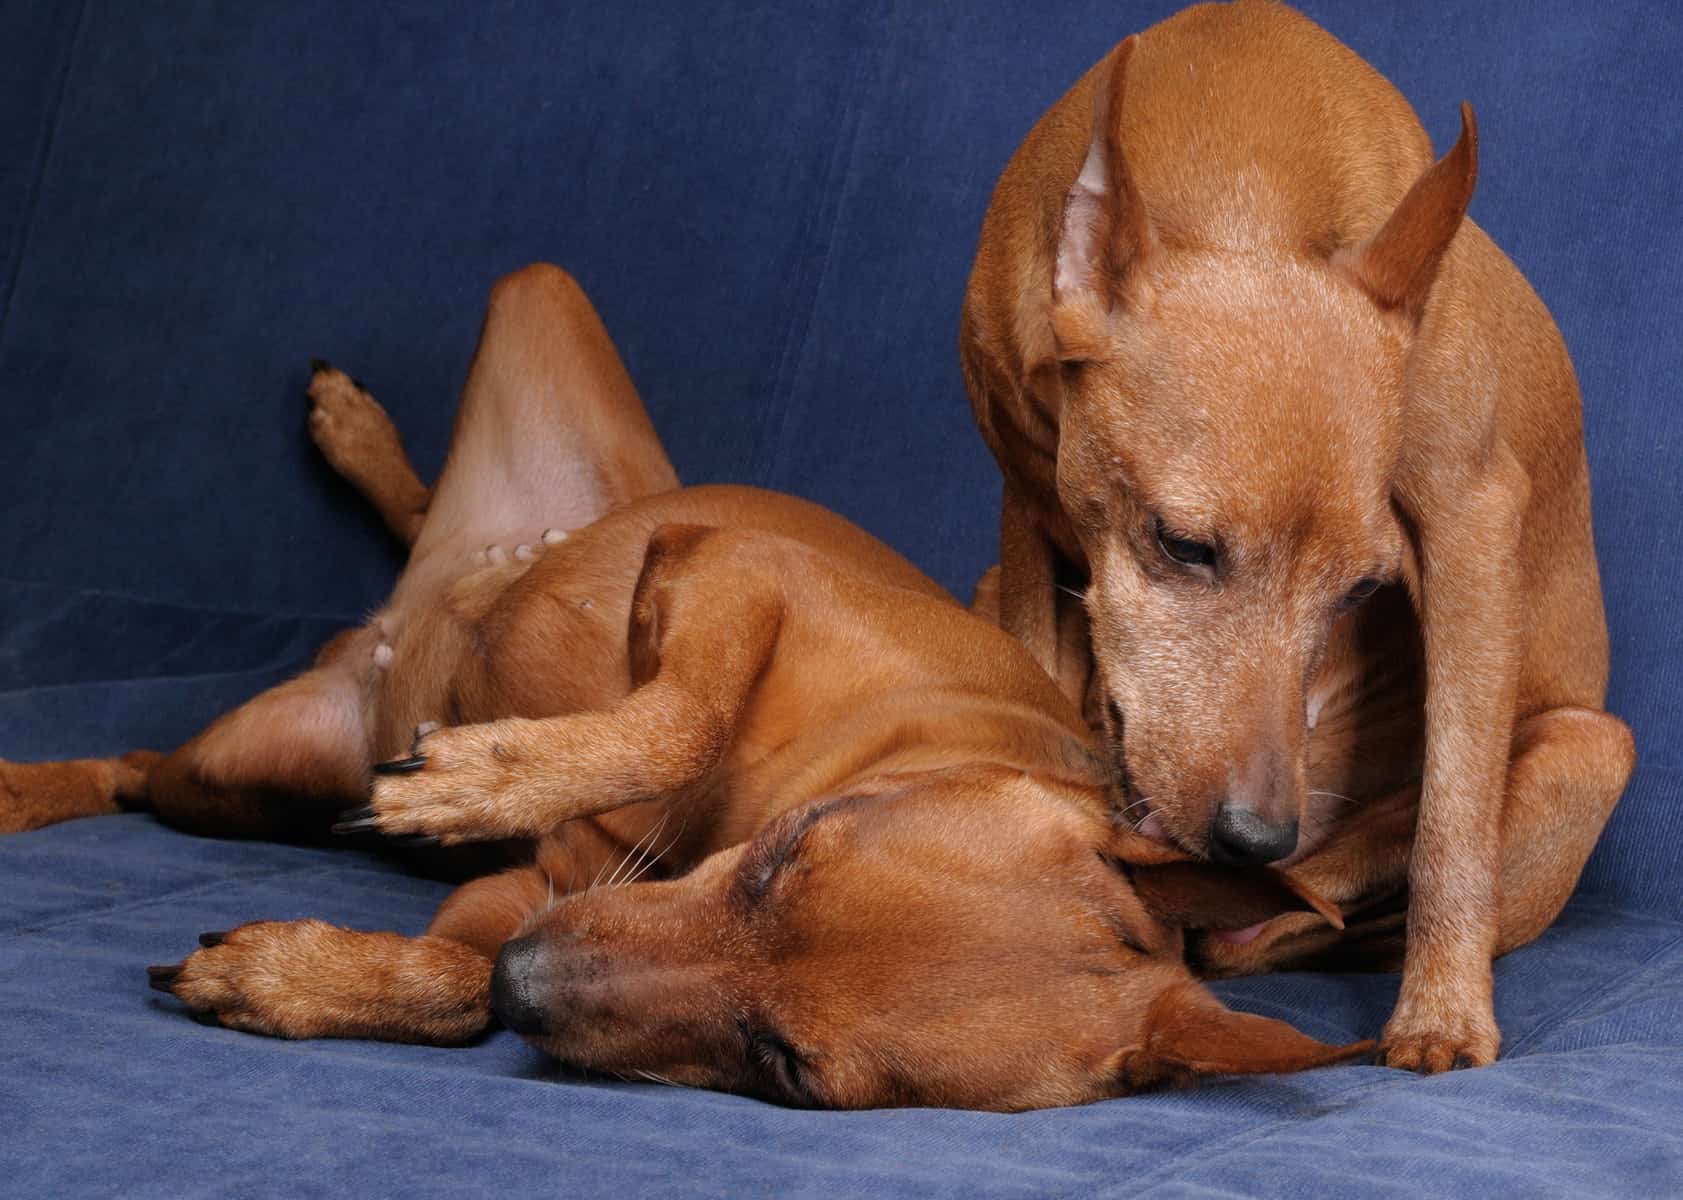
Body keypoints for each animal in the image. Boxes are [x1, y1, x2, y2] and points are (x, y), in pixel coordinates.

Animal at [0, 267, 1366, 1110]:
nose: (534, 979)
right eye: (785, 856)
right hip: (551, 319)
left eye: (783, 1065)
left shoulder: (526, 899)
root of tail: (394, 620)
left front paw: (297, 979)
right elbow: (685, 713)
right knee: (441, 529)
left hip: (232, 779)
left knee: (132, 771)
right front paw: (488, 778)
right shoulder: (730, 568)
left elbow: (456, 990)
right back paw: (365, 446)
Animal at [962, 0, 1629, 1070]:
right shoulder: (1025, 515)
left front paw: (1442, 1015)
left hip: (1587, 744)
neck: (1242, 187)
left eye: (1360, 592)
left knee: (1297, 921)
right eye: (1181, 544)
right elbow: (1039, 683)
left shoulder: (1468, 518)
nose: (1255, 839)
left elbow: (1453, 817)